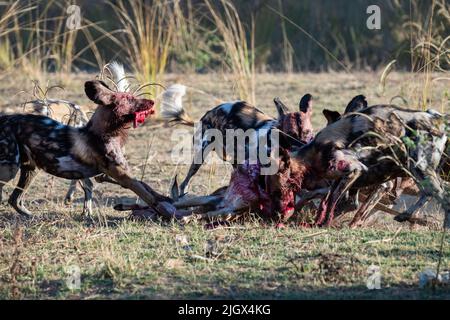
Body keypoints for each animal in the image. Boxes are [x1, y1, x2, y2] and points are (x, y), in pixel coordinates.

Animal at [0, 79, 158, 218]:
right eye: (130, 98)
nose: (152, 102)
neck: (102, 133)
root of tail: (4, 119)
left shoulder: (108, 176)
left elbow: (147, 189)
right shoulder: (124, 177)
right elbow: (150, 198)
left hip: (30, 169)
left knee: (14, 199)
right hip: (10, 170)